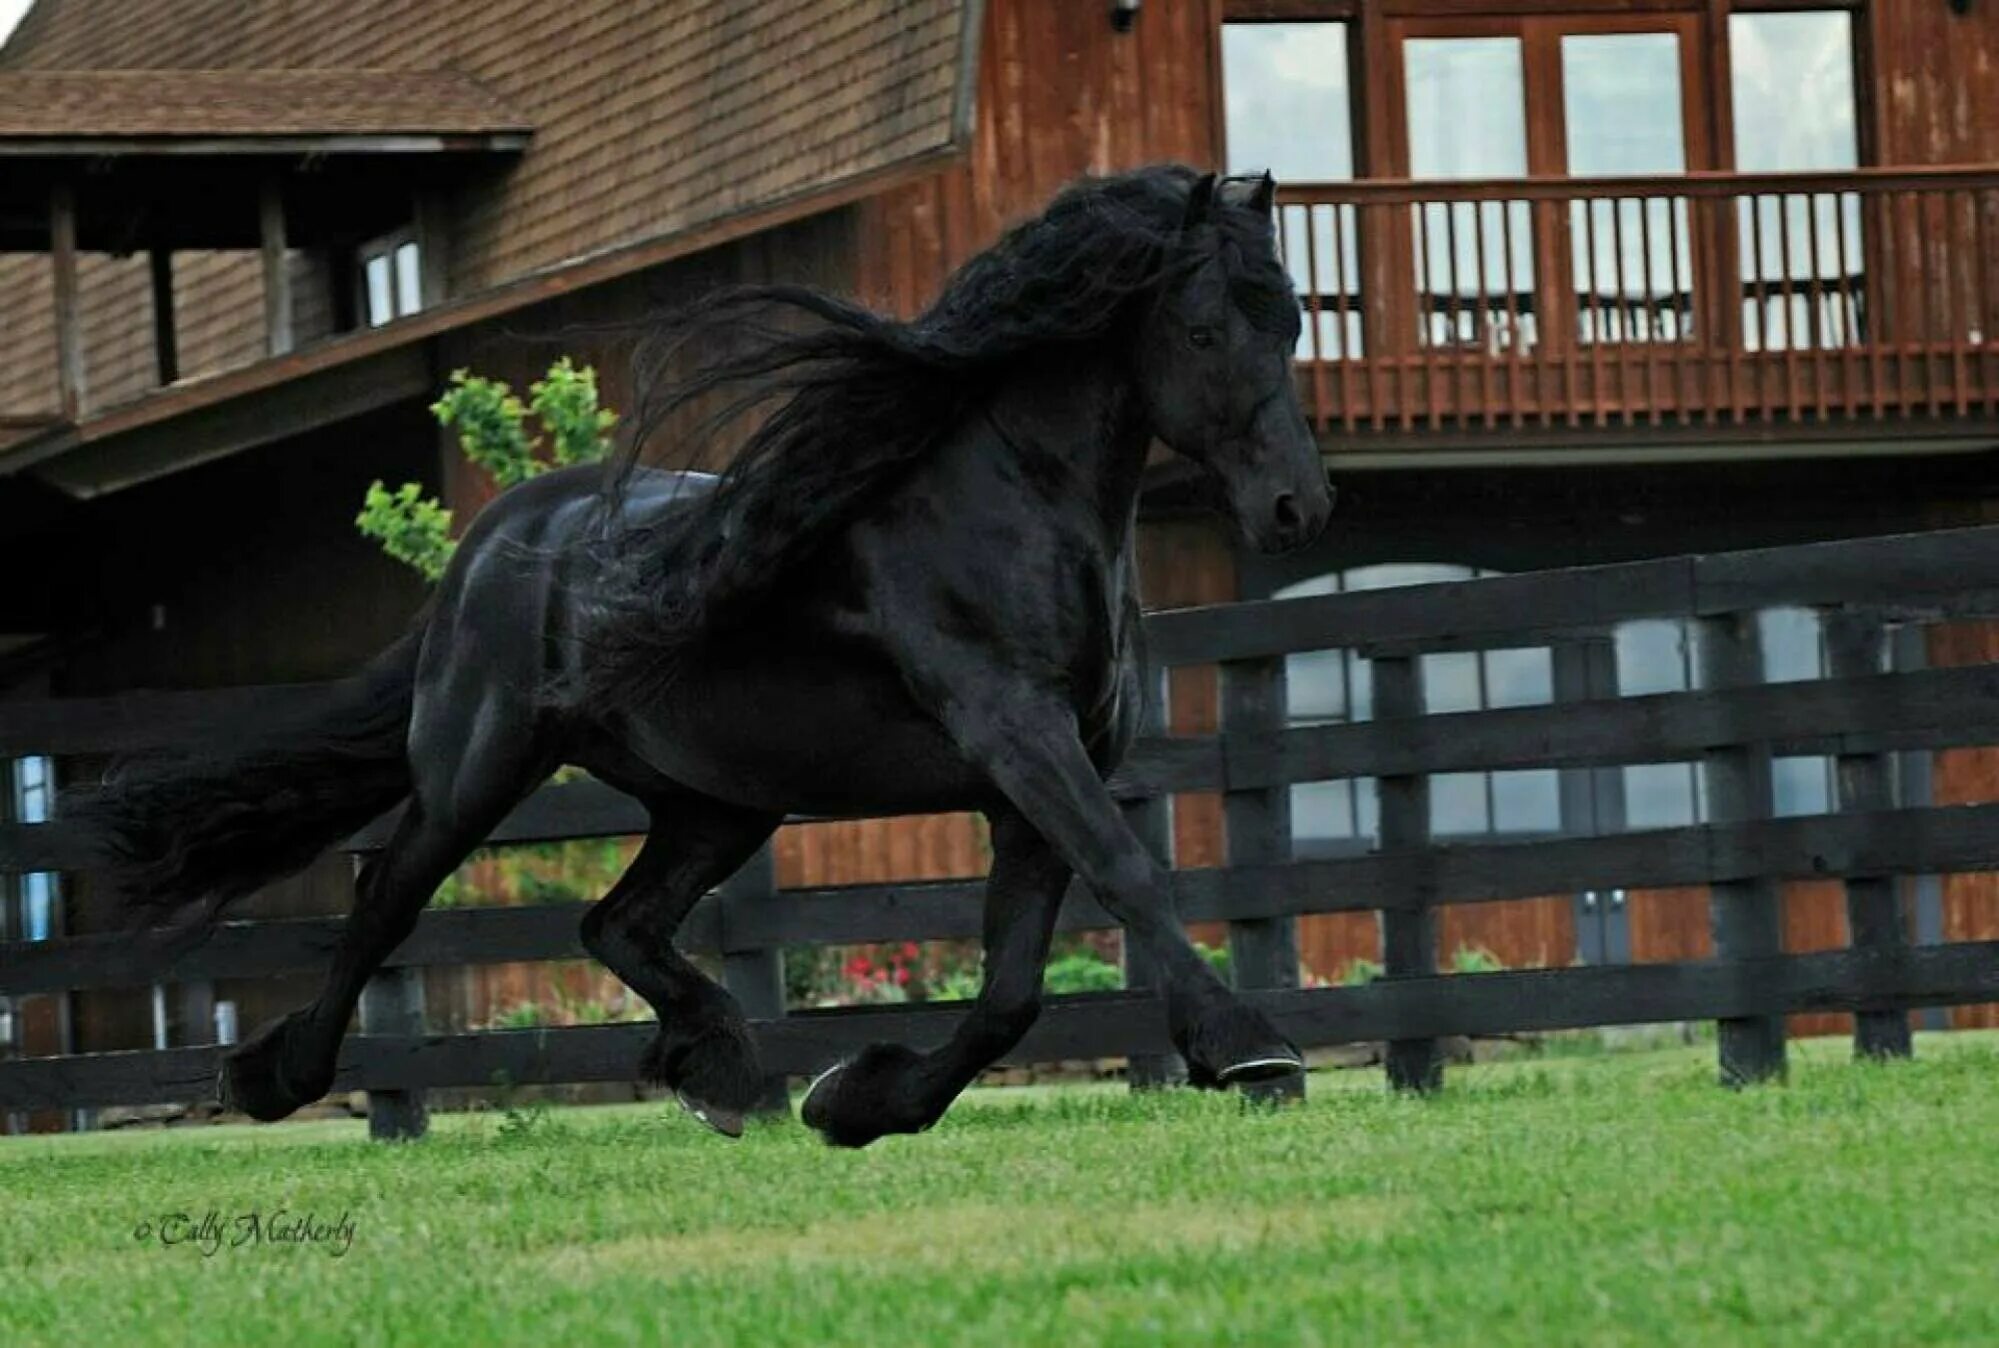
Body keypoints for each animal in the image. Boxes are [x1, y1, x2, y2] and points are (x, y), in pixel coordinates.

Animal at [77, 163, 1327, 1136]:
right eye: (1205, 328)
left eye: (1291, 322)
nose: (1292, 510)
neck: (1009, 501)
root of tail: (490, 542)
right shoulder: (1017, 736)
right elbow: (1124, 874)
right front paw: (1251, 1049)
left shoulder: (1035, 779)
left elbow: (1012, 987)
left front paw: (857, 1102)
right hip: (477, 768)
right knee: (387, 895)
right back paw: (272, 1077)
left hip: (718, 802)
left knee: (614, 920)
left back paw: (722, 1073)